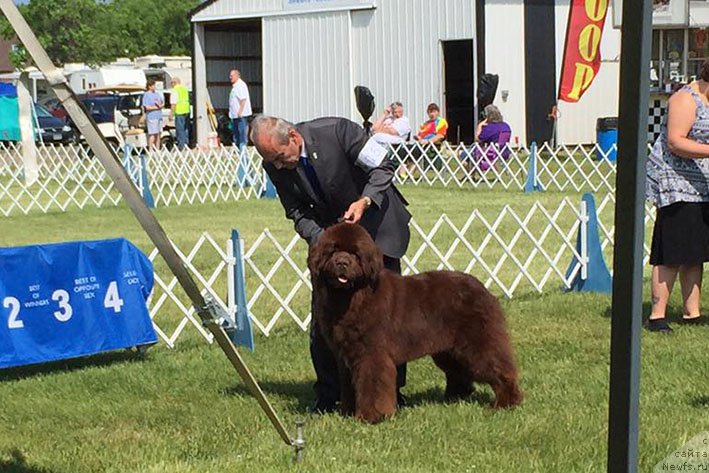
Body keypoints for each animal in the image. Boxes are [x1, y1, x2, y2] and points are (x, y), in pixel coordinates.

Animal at [306, 223, 524, 422]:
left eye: (355, 254)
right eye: (332, 250)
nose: (342, 262)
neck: (351, 296)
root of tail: (483, 288)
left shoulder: (371, 354)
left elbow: (371, 385)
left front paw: (371, 417)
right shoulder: (346, 355)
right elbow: (350, 385)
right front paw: (348, 413)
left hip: (477, 342)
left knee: (499, 368)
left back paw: (506, 403)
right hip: (449, 350)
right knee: (459, 371)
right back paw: (455, 398)